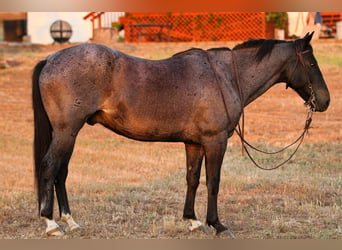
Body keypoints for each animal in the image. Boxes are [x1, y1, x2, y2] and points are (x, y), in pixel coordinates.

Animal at [32, 32, 328, 236]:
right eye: (312, 63)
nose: (325, 101)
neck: (226, 75)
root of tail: (50, 59)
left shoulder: (194, 143)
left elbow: (192, 179)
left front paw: (193, 221)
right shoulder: (215, 141)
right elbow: (213, 181)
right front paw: (217, 224)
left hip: (69, 133)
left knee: (61, 172)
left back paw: (70, 221)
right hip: (66, 132)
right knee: (50, 166)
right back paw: (51, 223)